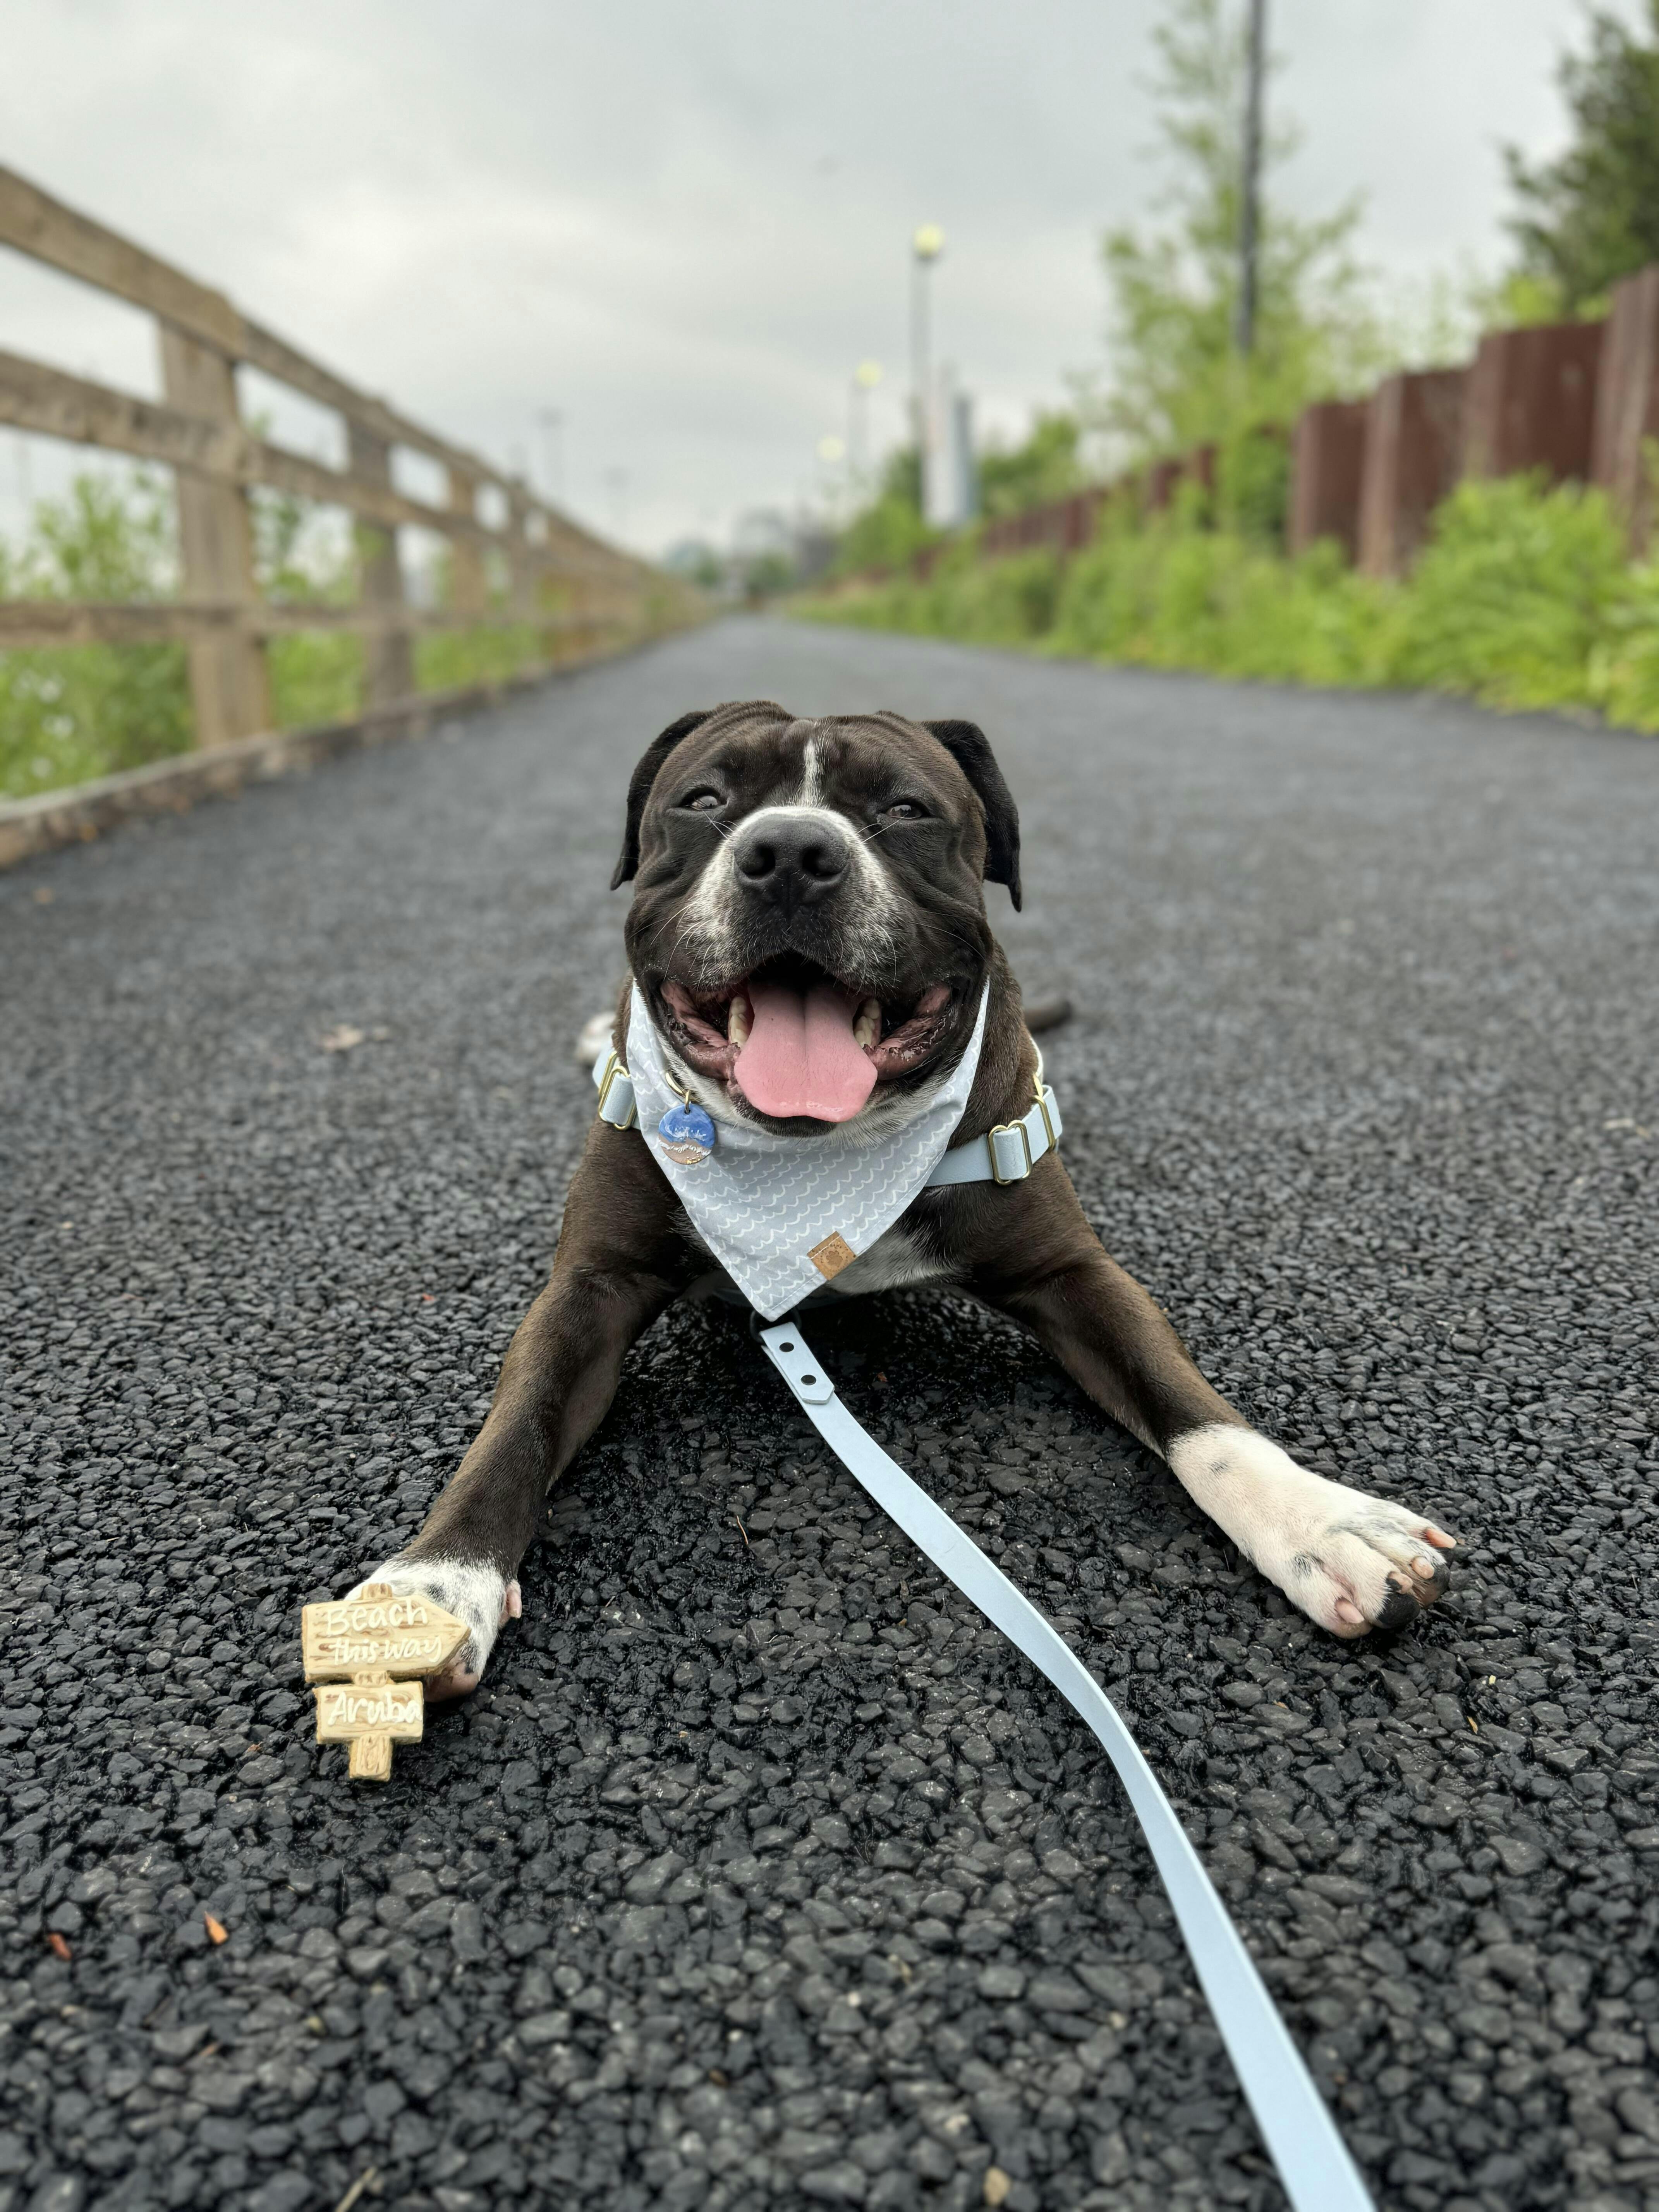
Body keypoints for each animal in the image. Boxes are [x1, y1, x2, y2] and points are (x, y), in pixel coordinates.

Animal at [352, 701, 1455, 1695]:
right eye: (703, 801)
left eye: (908, 809)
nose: (790, 851)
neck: (818, 1167)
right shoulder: (587, 1289)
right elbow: (518, 1426)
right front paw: (434, 1584)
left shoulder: (1075, 1274)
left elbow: (1193, 1410)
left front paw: (1321, 1522)